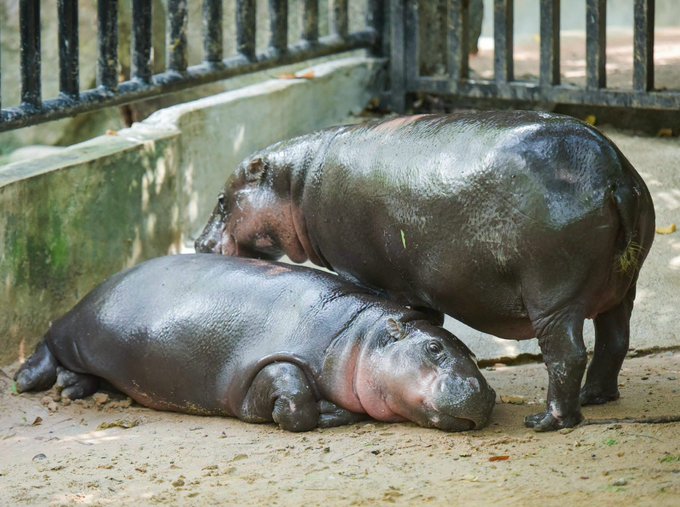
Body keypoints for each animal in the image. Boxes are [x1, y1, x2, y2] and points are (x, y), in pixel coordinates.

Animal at [14, 254, 495, 432]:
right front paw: (329, 413)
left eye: (473, 353)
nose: (485, 392)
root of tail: (98, 287)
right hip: (79, 330)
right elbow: (295, 401)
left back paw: (73, 388)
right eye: (434, 349)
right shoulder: (273, 361)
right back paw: (29, 379)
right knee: (49, 337)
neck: (360, 334)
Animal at [195, 111, 655, 431]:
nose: (199, 244)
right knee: (615, 340)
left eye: (220, 199)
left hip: (554, 300)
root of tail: (616, 174)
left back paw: (548, 421)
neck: (296, 182)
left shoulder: (366, 276)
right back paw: (596, 397)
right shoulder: (414, 288)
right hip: (622, 287)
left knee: (567, 355)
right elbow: (426, 321)